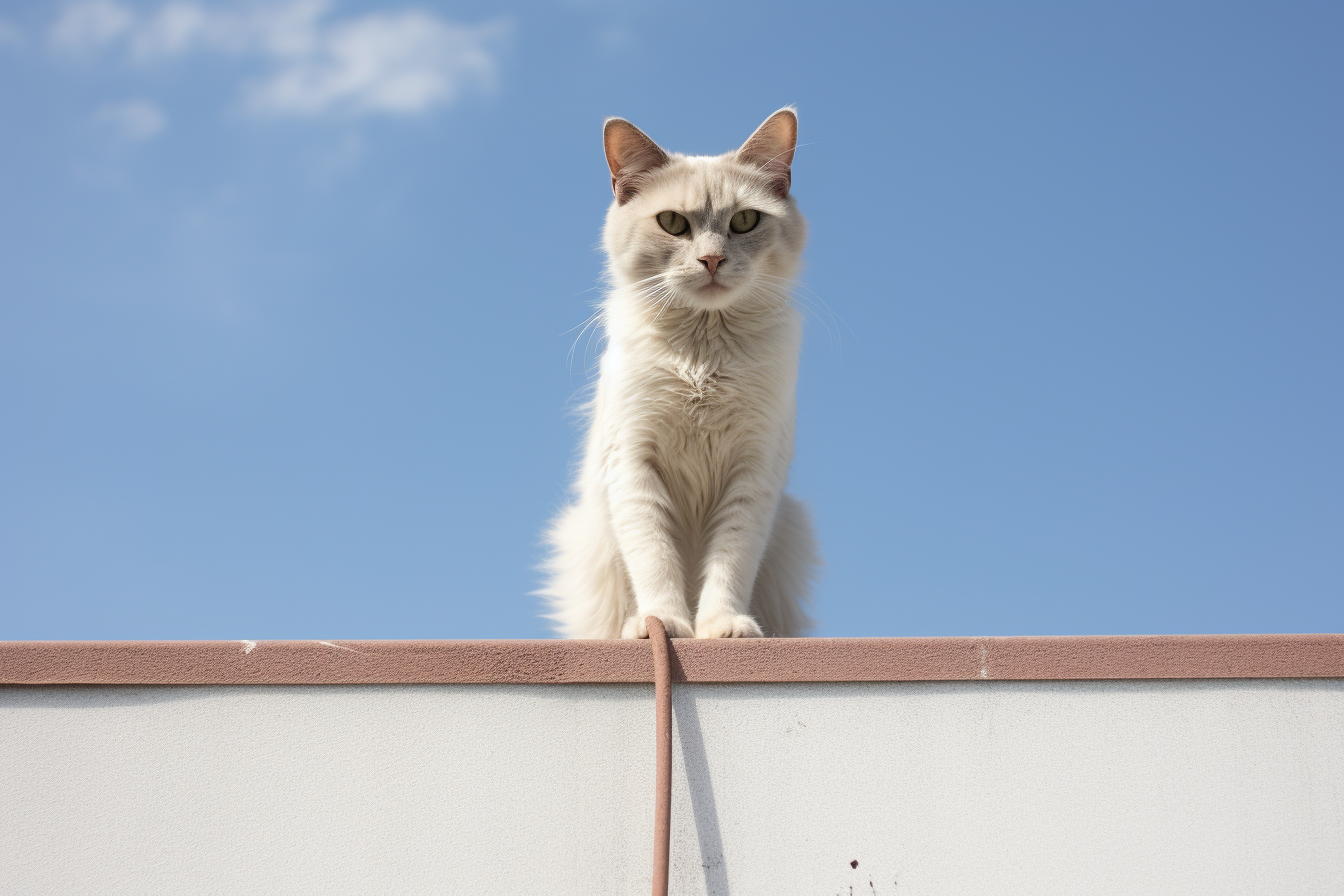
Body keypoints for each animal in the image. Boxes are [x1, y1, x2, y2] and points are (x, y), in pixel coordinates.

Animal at [537, 110, 811, 636]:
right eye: (673, 223)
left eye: (744, 221)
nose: (711, 260)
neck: (703, 359)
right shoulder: (633, 467)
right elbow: (655, 561)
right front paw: (660, 624)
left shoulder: (753, 474)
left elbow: (729, 564)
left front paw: (723, 627)